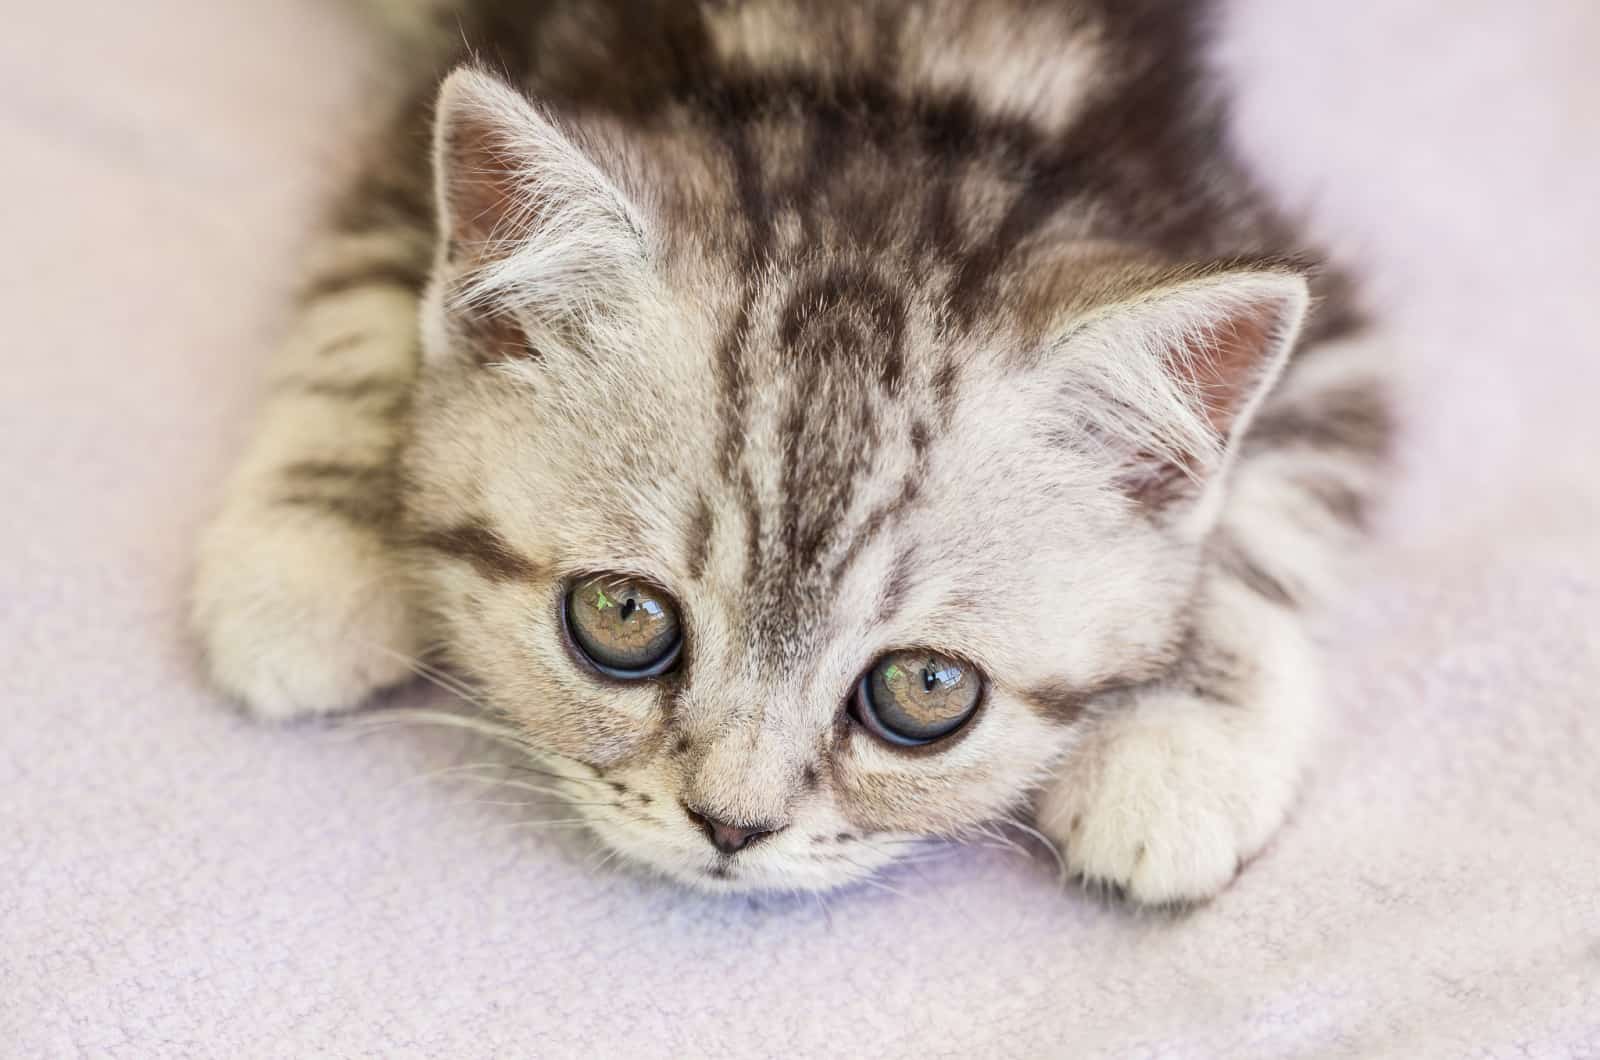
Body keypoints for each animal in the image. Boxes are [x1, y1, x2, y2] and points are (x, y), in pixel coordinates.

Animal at [190, 0, 1388, 903]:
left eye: (925, 689)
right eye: (622, 617)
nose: (731, 824)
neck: (873, 92)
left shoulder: (1302, 288)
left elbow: (1273, 507)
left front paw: (1177, 744)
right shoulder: (414, 130)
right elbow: (362, 288)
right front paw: (308, 557)